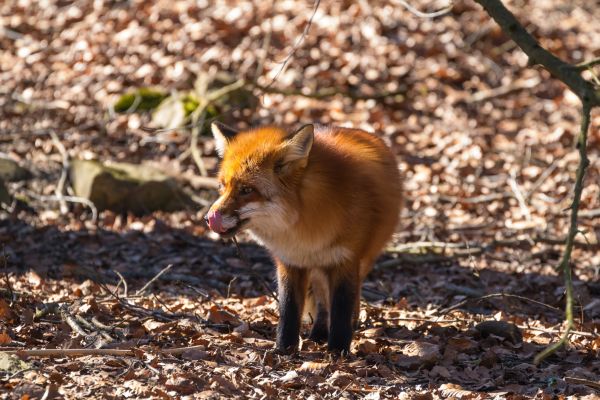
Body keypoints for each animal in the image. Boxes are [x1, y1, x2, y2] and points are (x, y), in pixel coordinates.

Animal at [206, 122, 404, 354]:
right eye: (222, 186)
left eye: (246, 189)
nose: (209, 218)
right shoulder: (289, 261)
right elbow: (289, 310)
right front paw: (284, 349)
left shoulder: (345, 260)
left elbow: (342, 308)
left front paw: (338, 350)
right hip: (318, 268)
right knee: (322, 302)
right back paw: (319, 333)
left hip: (360, 261)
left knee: (349, 298)